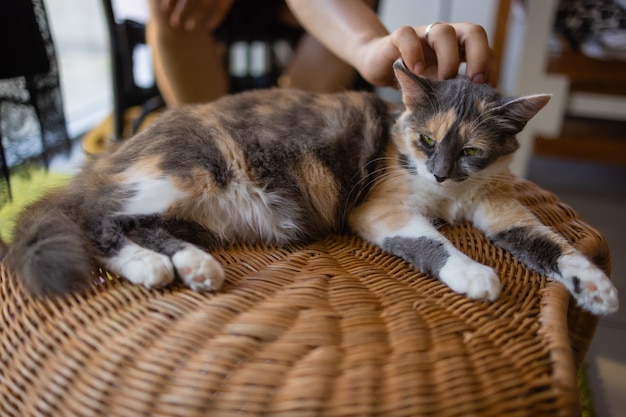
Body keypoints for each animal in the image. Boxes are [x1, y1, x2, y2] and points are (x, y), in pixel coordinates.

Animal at [7, 59, 616, 316]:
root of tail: (112, 153)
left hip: (183, 208)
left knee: (143, 227)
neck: (448, 194)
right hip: (184, 173)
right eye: (425, 140)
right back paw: (149, 267)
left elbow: (555, 247)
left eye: (470, 151)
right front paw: (474, 274)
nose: (440, 173)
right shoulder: (380, 209)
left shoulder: (501, 208)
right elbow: (434, 242)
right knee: (98, 220)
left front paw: (598, 289)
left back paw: (191, 267)